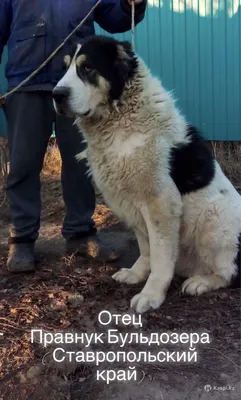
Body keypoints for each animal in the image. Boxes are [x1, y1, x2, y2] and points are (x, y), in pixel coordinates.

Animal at [53, 36, 241, 314]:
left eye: (87, 68)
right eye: (65, 67)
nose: (56, 94)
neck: (121, 118)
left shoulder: (160, 203)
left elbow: (161, 256)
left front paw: (151, 294)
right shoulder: (132, 202)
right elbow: (146, 247)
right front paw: (137, 273)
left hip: (215, 220)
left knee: (229, 272)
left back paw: (201, 282)